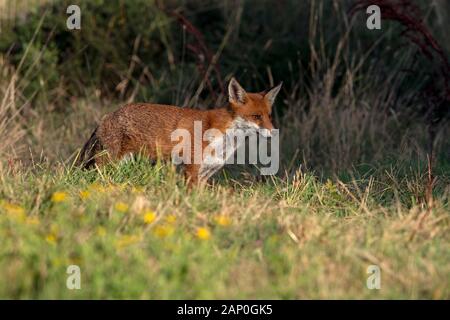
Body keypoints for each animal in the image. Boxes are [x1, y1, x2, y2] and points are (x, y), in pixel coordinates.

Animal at [77, 78, 282, 185]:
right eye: (256, 116)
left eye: (269, 116)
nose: (274, 133)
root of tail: (107, 117)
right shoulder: (191, 169)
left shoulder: (205, 174)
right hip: (108, 163)